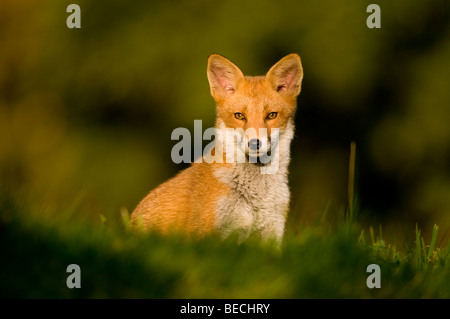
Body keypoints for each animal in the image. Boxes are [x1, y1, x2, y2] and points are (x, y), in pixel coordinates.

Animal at [132, 53, 304, 244]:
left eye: (271, 115)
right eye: (239, 116)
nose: (255, 143)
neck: (256, 196)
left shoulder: (272, 233)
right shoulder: (211, 235)